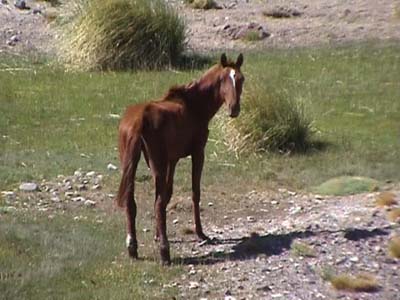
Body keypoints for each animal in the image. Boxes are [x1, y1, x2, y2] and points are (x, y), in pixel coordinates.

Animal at [116, 54, 244, 264]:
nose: (234, 109)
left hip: (131, 164)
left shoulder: (172, 160)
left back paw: (132, 247)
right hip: (157, 163)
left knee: (131, 201)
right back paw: (164, 251)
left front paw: (157, 234)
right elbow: (194, 192)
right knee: (157, 204)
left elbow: (167, 194)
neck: (194, 106)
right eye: (223, 79)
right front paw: (200, 233)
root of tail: (139, 119)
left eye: (241, 79)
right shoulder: (198, 152)